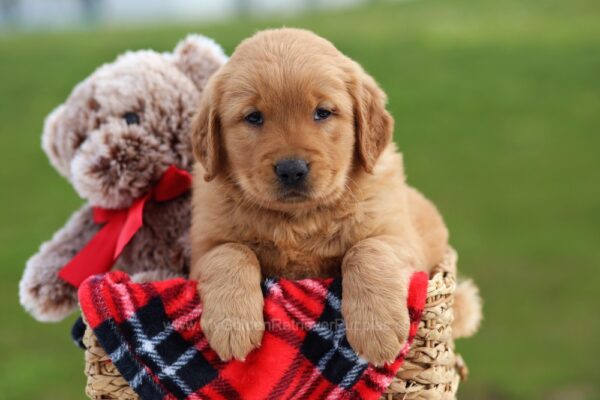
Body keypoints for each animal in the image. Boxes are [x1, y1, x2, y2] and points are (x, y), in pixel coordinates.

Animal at [190, 28, 448, 366]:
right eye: (254, 117)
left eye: (322, 113)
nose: (291, 170)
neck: (298, 220)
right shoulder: (202, 249)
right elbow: (231, 251)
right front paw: (232, 325)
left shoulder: (399, 237)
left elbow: (367, 250)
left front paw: (376, 329)